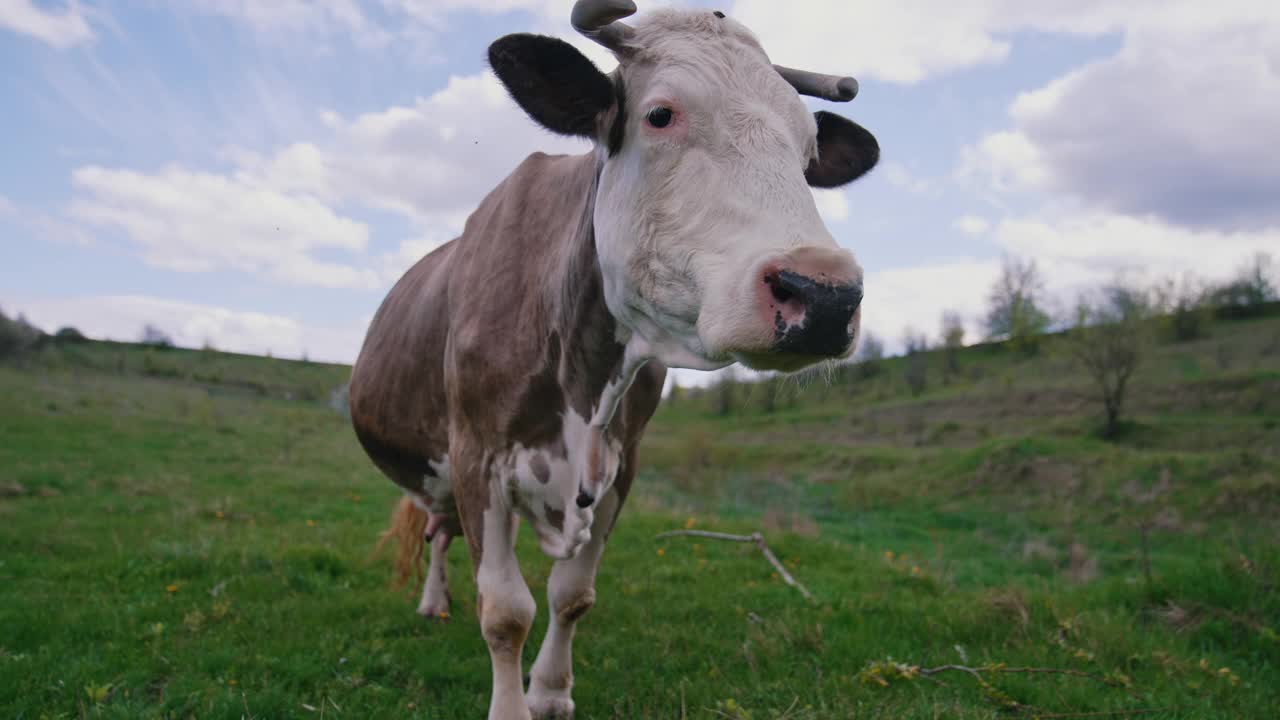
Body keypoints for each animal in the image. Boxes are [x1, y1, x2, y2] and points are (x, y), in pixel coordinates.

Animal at [345, 2, 875, 712]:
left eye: (809, 149)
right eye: (660, 114)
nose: (824, 294)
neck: (585, 379)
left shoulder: (623, 466)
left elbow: (571, 596)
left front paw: (550, 694)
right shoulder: (476, 453)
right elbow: (505, 611)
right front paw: (513, 707)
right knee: (438, 530)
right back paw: (433, 602)